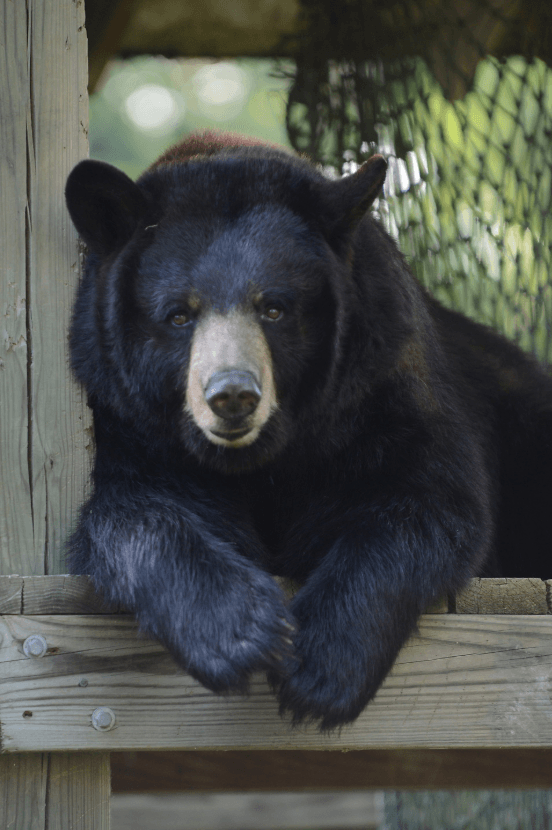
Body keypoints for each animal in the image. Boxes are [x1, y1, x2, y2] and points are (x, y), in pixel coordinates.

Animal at [63, 130, 552, 728]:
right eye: (178, 315)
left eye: (274, 308)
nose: (232, 395)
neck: (259, 458)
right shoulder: (125, 416)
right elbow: (130, 510)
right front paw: (239, 633)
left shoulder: (383, 384)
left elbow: (429, 502)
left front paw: (318, 667)